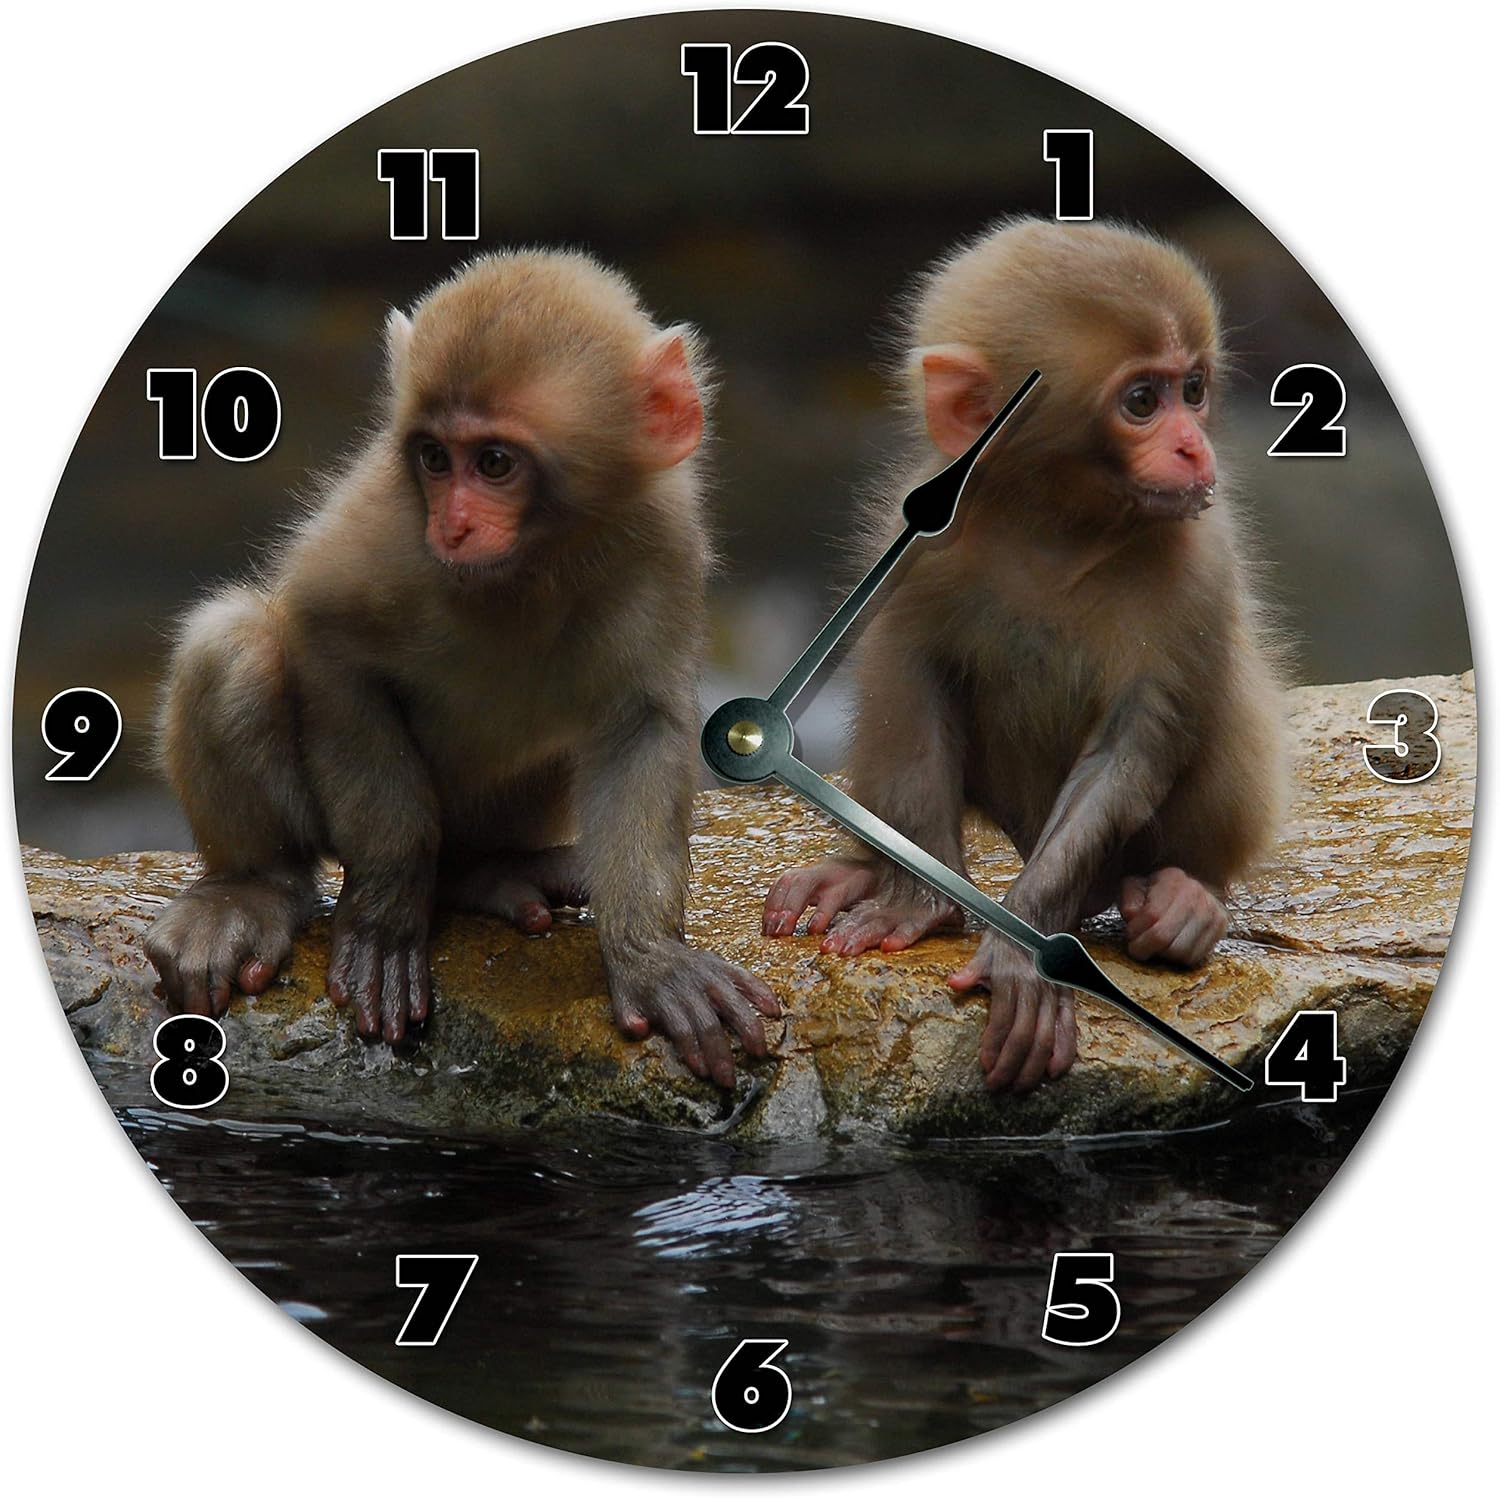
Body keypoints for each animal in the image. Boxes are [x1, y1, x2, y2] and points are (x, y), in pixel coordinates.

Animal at [144, 249, 780, 1087]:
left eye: (496, 462)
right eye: (435, 459)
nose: (453, 525)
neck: (531, 561)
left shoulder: (661, 537)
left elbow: (641, 723)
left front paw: (650, 958)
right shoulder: (385, 523)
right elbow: (327, 645)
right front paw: (386, 916)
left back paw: (484, 871)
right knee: (235, 643)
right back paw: (252, 889)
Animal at [763, 218, 1287, 1093]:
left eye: (1194, 389)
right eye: (1142, 401)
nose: (1192, 447)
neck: (1057, 524)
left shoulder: (1200, 563)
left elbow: (1130, 749)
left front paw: (1026, 952)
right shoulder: (917, 543)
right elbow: (911, 679)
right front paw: (915, 902)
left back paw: (1185, 898)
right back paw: (858, 869)